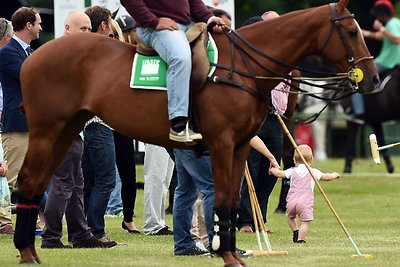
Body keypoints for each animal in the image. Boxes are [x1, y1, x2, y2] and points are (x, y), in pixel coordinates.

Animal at [15, 1, 378, 266]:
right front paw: (227, 255)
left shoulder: (240, 146)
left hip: (66, 132)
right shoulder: (221, 143)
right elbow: (221, 198)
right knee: (29, 181)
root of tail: (35, 56)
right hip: (47, 131)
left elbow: (230, 200)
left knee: (39, 184)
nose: (373, 78)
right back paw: (28, 252)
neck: (242, 68)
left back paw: (30, 250)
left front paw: (231, 254)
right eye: (351, 30)